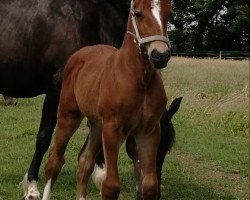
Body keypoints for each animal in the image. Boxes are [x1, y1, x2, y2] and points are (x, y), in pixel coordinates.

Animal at [42, 0, 172, 199]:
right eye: (138, 13)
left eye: (168, 14)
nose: (160, 55)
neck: (138, 79)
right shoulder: (112, 128)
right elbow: (110, 186)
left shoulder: (149, 131)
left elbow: (149, 186)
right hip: (68, 116)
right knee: (54, 161)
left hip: (97, 125)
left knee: (84, 162)